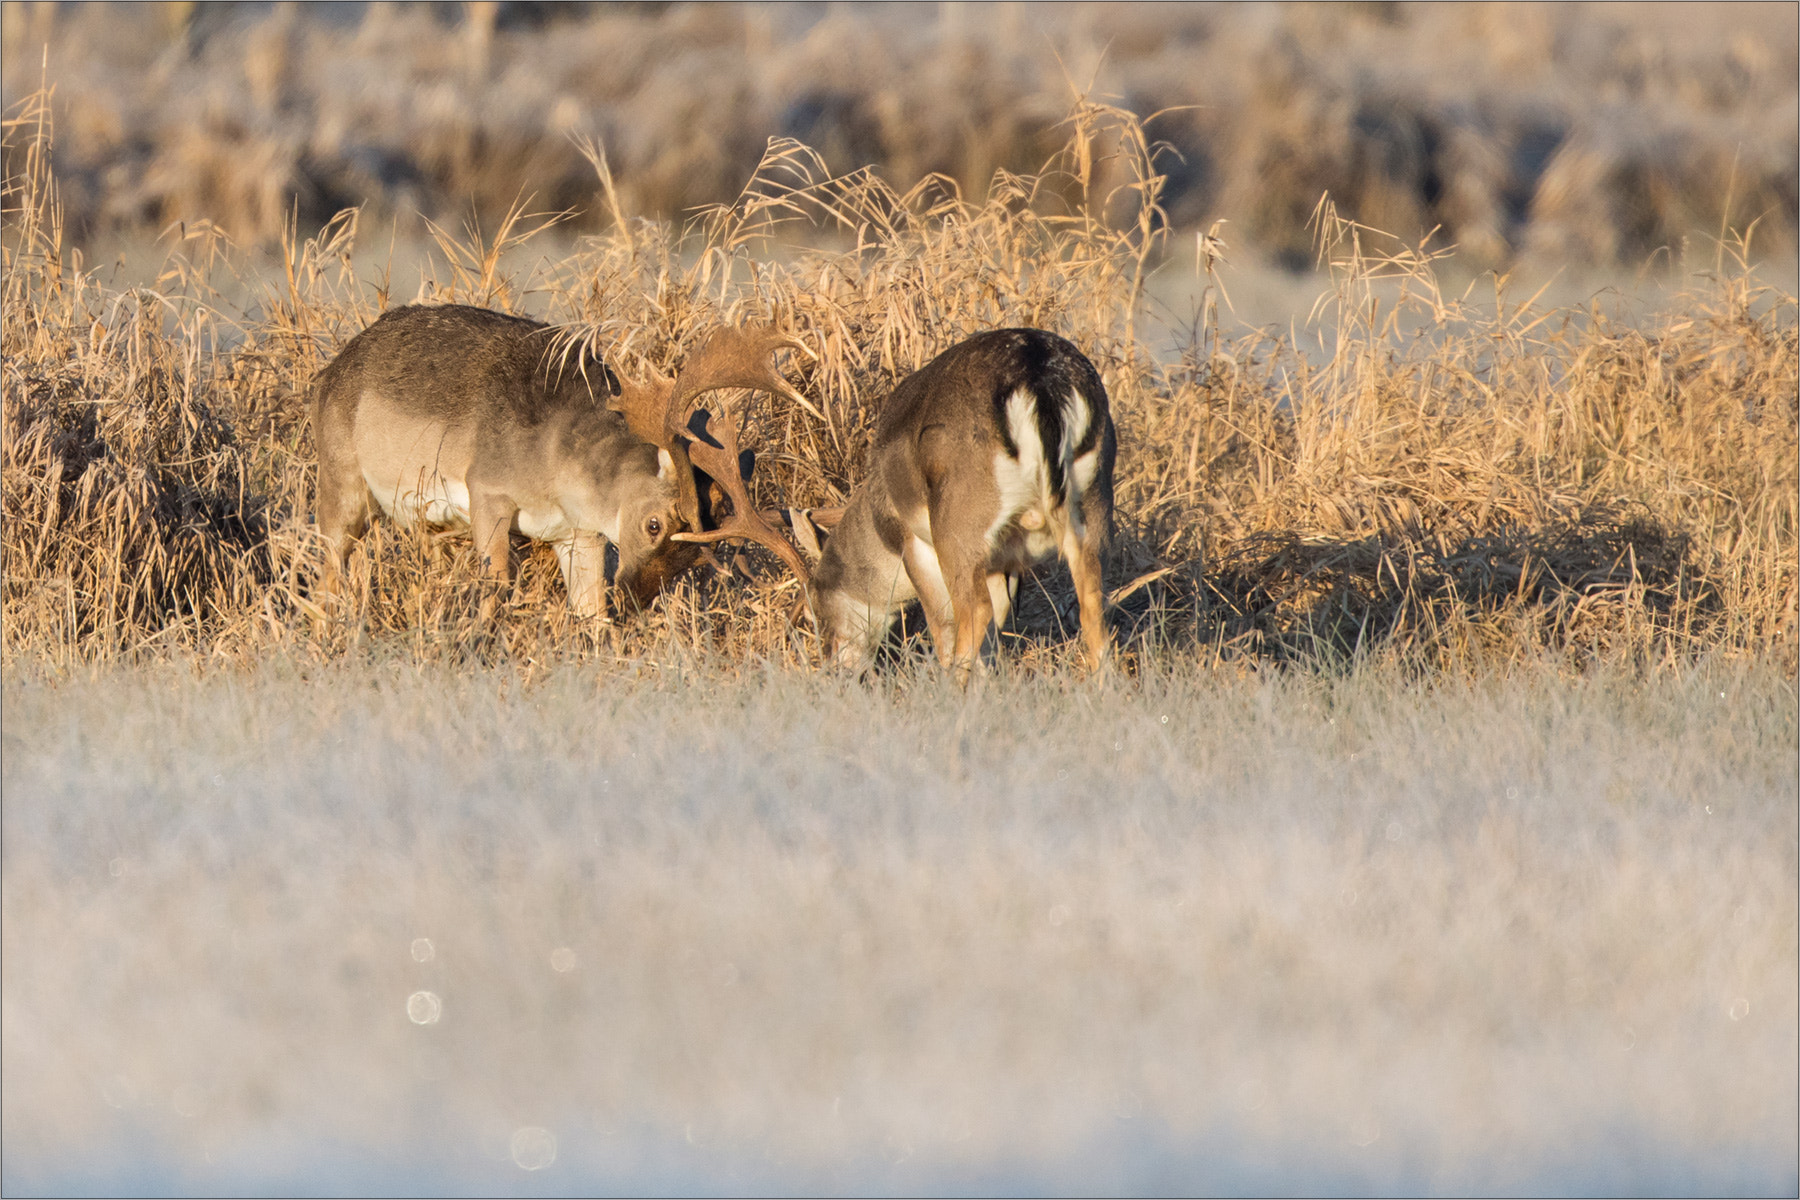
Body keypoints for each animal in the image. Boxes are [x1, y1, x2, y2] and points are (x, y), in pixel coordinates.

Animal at [311, 300, 810, 618]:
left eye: (693, 558)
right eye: (653, 524)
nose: (632, 600)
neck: (555, 463)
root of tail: (334, 367)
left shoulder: (579, 536)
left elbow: (590, 613)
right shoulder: (487, 490)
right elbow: (496, 587)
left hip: (419, 523)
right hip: (341, 485)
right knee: (328, 576)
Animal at [792, 329, 1108, 680]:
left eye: (812, 605)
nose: (833, 671)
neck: (877, 523)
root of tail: (1038, 375)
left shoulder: (913, 542)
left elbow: (944, 626)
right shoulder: (1004, 562)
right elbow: (992, 641)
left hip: (959, 524)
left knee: (972, 613)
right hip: (1092, 502)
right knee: (1092, 601)